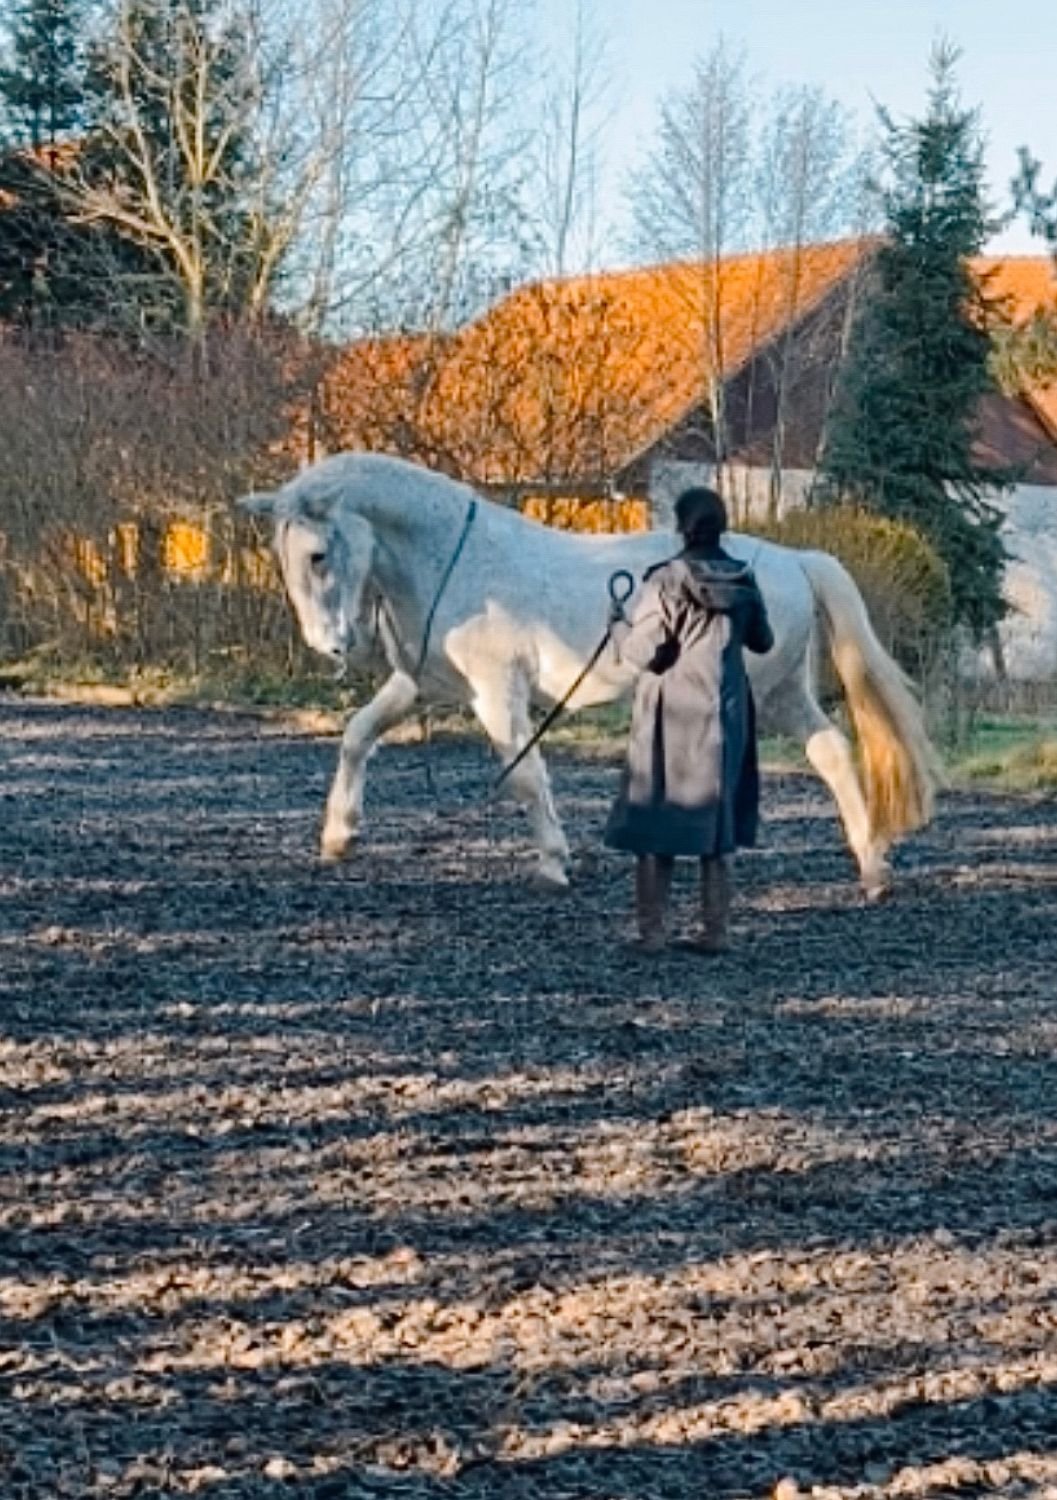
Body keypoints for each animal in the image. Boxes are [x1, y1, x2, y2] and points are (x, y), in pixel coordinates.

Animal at [236, 450, 929, 894]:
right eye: (282, 554)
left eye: (318, 554)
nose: (330, 645)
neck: (454, 562)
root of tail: (792, 559)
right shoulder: (420, 686)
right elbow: (357, 734)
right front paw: (338, 837)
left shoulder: (497, 694)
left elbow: (524, 774)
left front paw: (552, 863)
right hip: (785, 693)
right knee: (833, 753)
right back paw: (872, 867)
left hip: (753, 694)